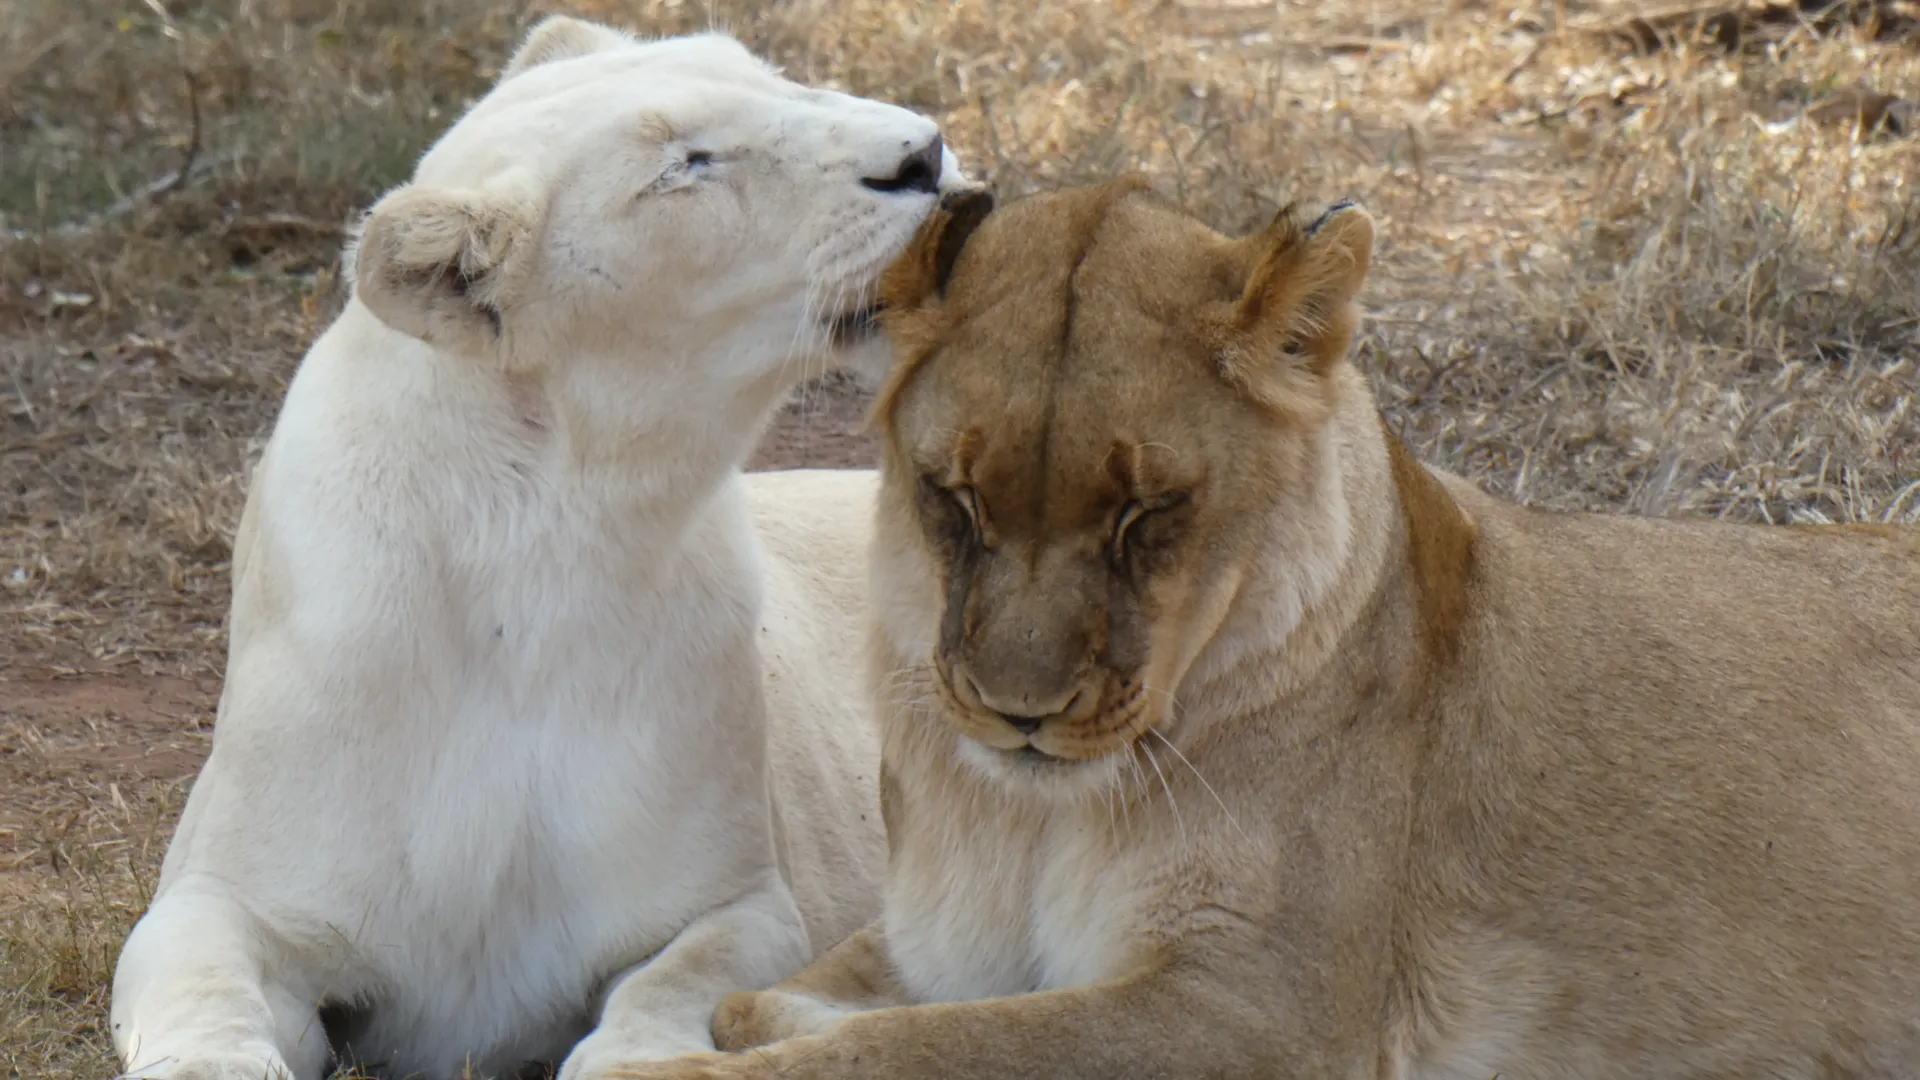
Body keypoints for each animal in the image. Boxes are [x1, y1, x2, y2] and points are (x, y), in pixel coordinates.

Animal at [108, 16, 967, 1080]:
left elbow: (670, 982)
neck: (540, 552)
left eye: (770, 75)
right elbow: (202, 992)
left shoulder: (745, 903)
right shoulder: (220, 894)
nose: (927, 152)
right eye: (685, 165)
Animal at [604, 178, 1920, 1080]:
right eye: (956, 499)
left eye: (1148, 513)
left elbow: (918, 1051)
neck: (1032, 817)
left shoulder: (1263, 1012)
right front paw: (749, 1016)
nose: (1018, 712)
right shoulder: (940, 939)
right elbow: (809, 1000)